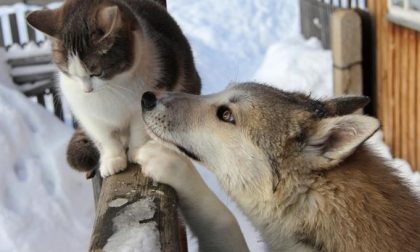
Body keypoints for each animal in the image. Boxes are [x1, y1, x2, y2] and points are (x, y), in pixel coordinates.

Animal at [27, 0, 201, 177]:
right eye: (69, 73)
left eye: (96, 72)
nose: (87, 90)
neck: (112, 87)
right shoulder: (88, 115)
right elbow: (105, 138)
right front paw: (113, 160)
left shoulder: (151, 94)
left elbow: (140, 129)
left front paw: (137, 151)